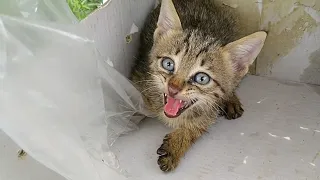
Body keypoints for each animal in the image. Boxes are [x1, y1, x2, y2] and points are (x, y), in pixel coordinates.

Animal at [130, 0, 268, 172]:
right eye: (168, 64)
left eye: (202, 78)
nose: (173, 88)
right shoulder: (138, 77)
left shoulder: (211, 109)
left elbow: (200, 124)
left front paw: (177, 144)